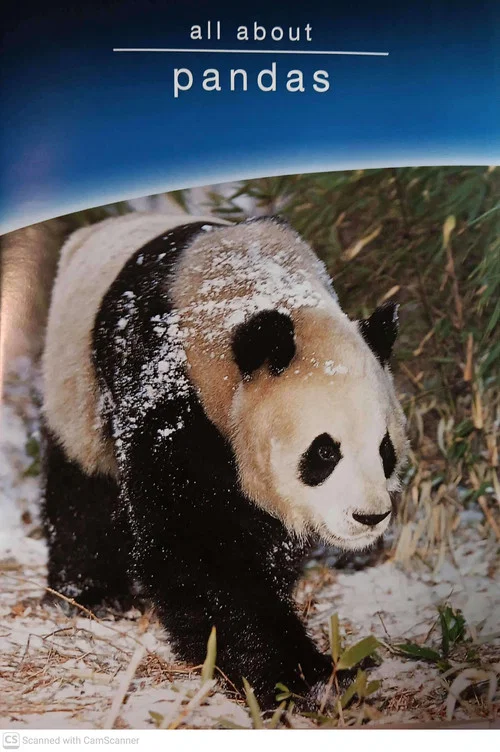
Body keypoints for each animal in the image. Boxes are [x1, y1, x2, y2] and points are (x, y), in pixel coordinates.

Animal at [41, 212, 408, 708]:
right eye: (324, 452)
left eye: (385, 449)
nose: (368, 517)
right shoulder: (171, 390)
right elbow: (198, 548)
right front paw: (305, 676)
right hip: (75, 388)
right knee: (82, 492)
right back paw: (90, 595)